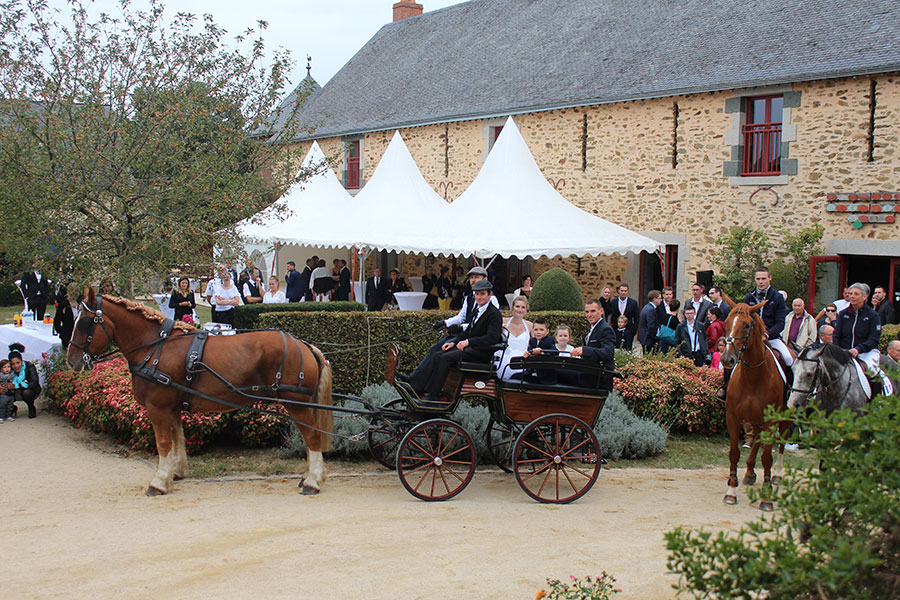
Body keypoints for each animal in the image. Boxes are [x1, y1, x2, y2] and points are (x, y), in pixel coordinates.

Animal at [66, 288, 334, 494]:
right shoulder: (171, 407)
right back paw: (309, 475)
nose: (71, 360)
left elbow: (163, 442)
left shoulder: (157, 407)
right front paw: (174, 473)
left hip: (295, 403)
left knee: (312, 437)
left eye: (84, 323)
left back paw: (312, 481)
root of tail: (304, 345)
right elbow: (177, 439)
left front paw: (159, 481)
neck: (156, 347)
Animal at [716, 296, 788, 510]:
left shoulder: (771, 420)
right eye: (727, 323)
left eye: (747, 325)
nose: (727, 359)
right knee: (756, 437)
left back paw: (777, 475)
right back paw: (749, 473)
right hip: (755, 418)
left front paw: (767, 497)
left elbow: (767, 457)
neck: (753, 376)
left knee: (781, 442)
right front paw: (731, 492)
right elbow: (734, 453)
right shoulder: (732, 416)